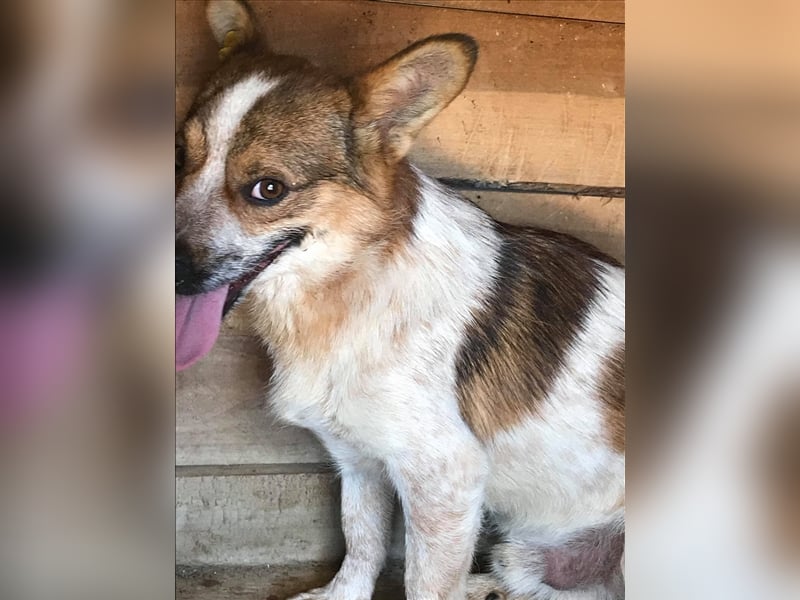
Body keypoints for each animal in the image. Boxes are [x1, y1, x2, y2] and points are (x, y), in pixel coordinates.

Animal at [176, 2, 625, 598]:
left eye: (268, 189)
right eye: (178, 157)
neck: (353, 283)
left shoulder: (444, 478)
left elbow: (422, 583)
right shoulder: (358, 457)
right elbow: (360, 541)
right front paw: (341, 594)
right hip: (527, 554)